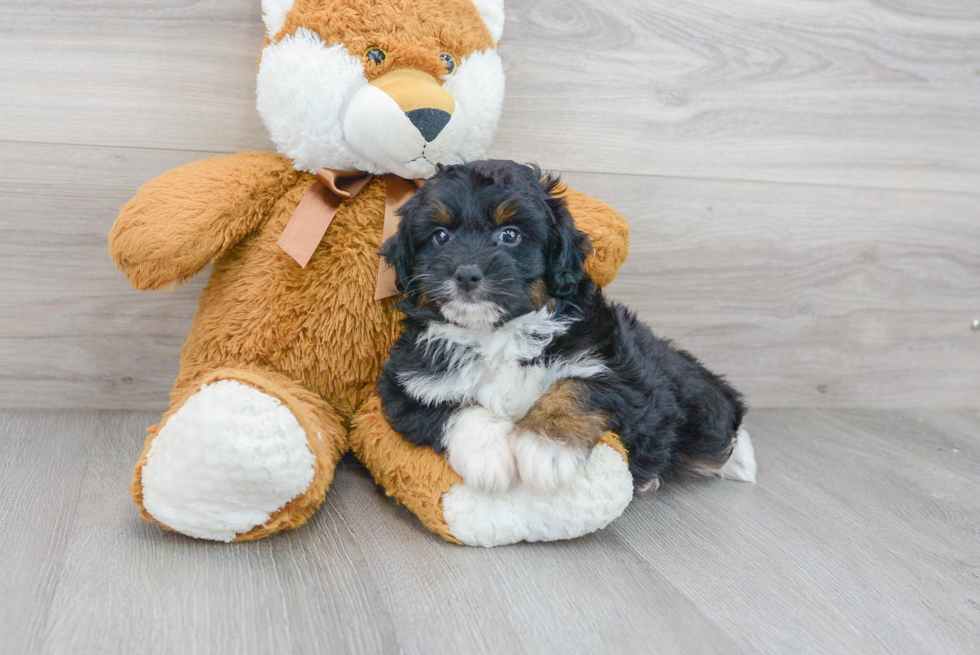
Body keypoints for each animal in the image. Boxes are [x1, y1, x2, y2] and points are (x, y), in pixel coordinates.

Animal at [378, 161, 756, 494]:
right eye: (440, 236)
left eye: (510, 234)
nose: (467, 274)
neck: (496, 333)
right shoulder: (407, 385)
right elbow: (455, 406)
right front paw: (489, 458)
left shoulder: (621, 373)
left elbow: (574, 387)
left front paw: (547, 448)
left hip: (690, 396)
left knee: (719, 425)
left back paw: (739, 462)